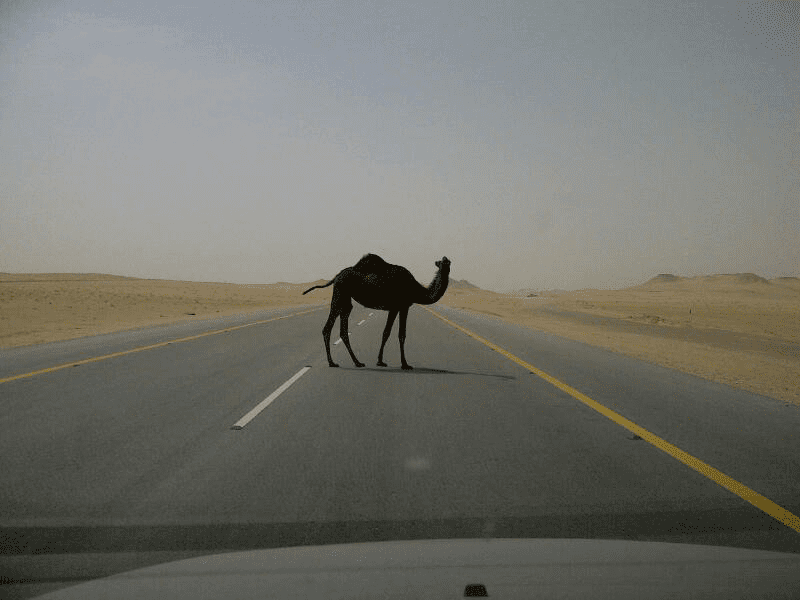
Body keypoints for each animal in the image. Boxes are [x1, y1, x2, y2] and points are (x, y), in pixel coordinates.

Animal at [302, 252, 450, 368]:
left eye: (448, 262)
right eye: (443, 262)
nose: (445, 261)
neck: (415, 289)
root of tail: (336, 276)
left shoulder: (399, 308)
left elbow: (390, 333)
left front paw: (383, 361)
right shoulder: (399, 306)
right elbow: (397, 334)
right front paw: (404, 364)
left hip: (345, 300)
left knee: (342, 330)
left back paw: (356, 362)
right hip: (340, 293)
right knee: (328, 328)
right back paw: (333, 362)